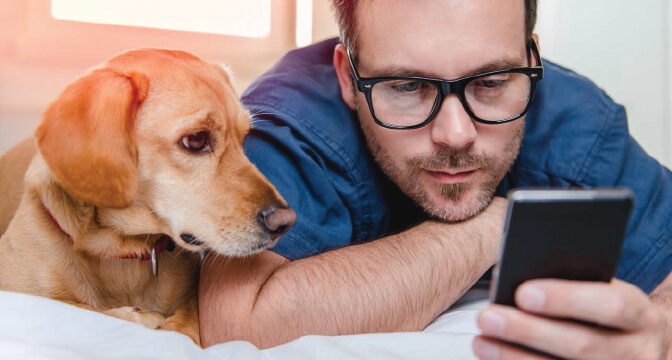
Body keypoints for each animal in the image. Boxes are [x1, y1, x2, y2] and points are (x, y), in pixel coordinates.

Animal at [0, 48, 296, 346]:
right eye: (196, 140)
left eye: (244, 138)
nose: (285, 222)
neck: (123, 253)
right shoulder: (17, 290)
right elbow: (79, 307)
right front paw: (145, 317)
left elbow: (184, 326)